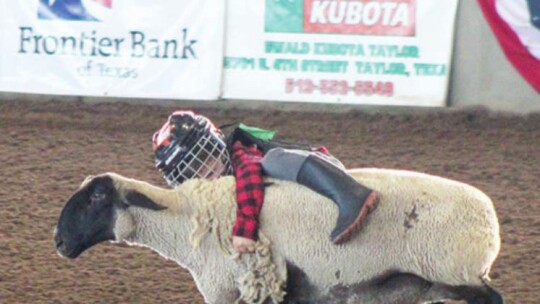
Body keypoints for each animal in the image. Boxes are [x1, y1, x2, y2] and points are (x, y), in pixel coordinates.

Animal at [52, 169, 504, 304]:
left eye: (97, 197)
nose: (58, 241)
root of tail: (490, 220)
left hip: (457, 272)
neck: (187, 222)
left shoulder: (234, 288)